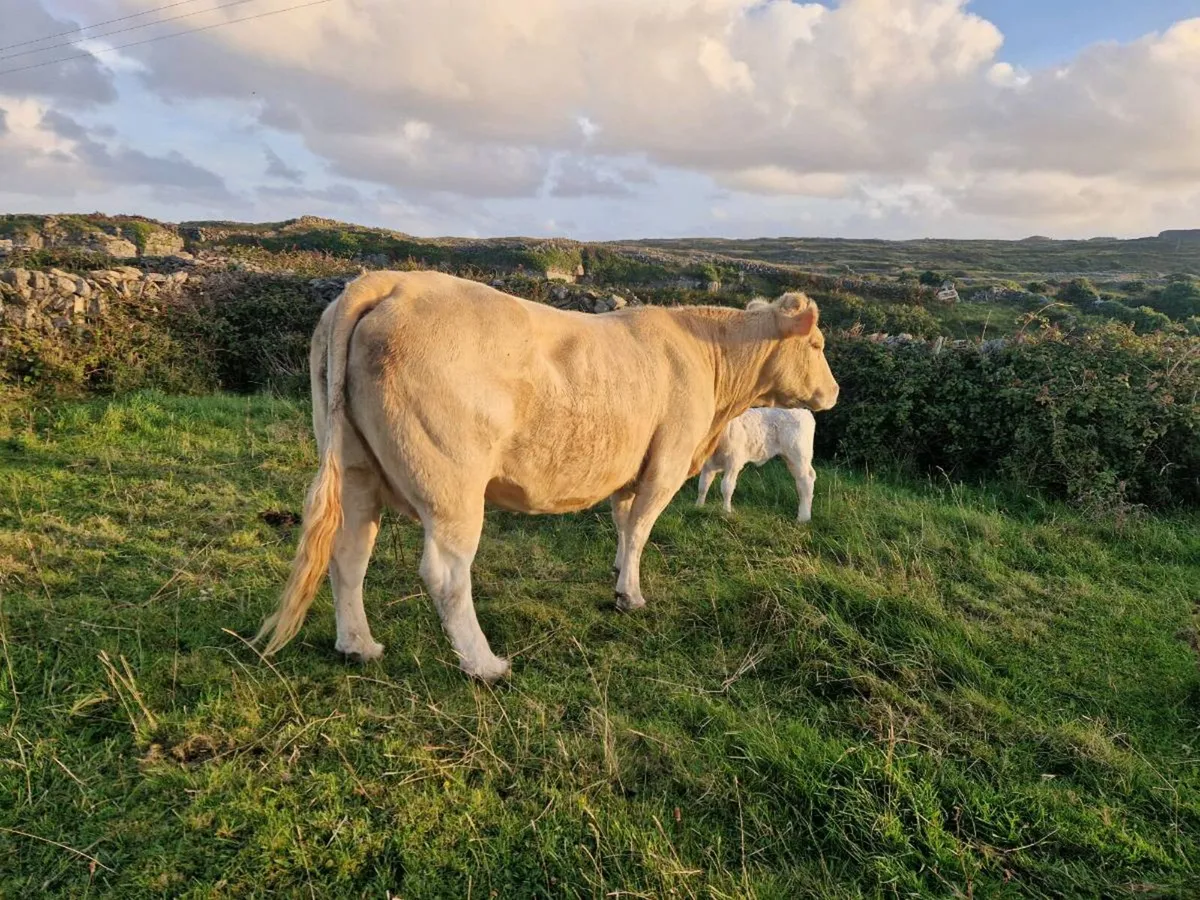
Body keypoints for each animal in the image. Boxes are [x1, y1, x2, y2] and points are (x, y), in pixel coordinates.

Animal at [254, 272, 838, 682]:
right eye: (816, 346)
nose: (833, 392)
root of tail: (388, 280)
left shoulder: (630, 466)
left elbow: (623, 524)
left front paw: (617, 572)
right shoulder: (667, 462)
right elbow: (641, 529)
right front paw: (630, 595)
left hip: (354, 468)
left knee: (348, 553)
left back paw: (359, 646)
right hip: (452, 484)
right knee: (445, 573)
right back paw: (484, 664)